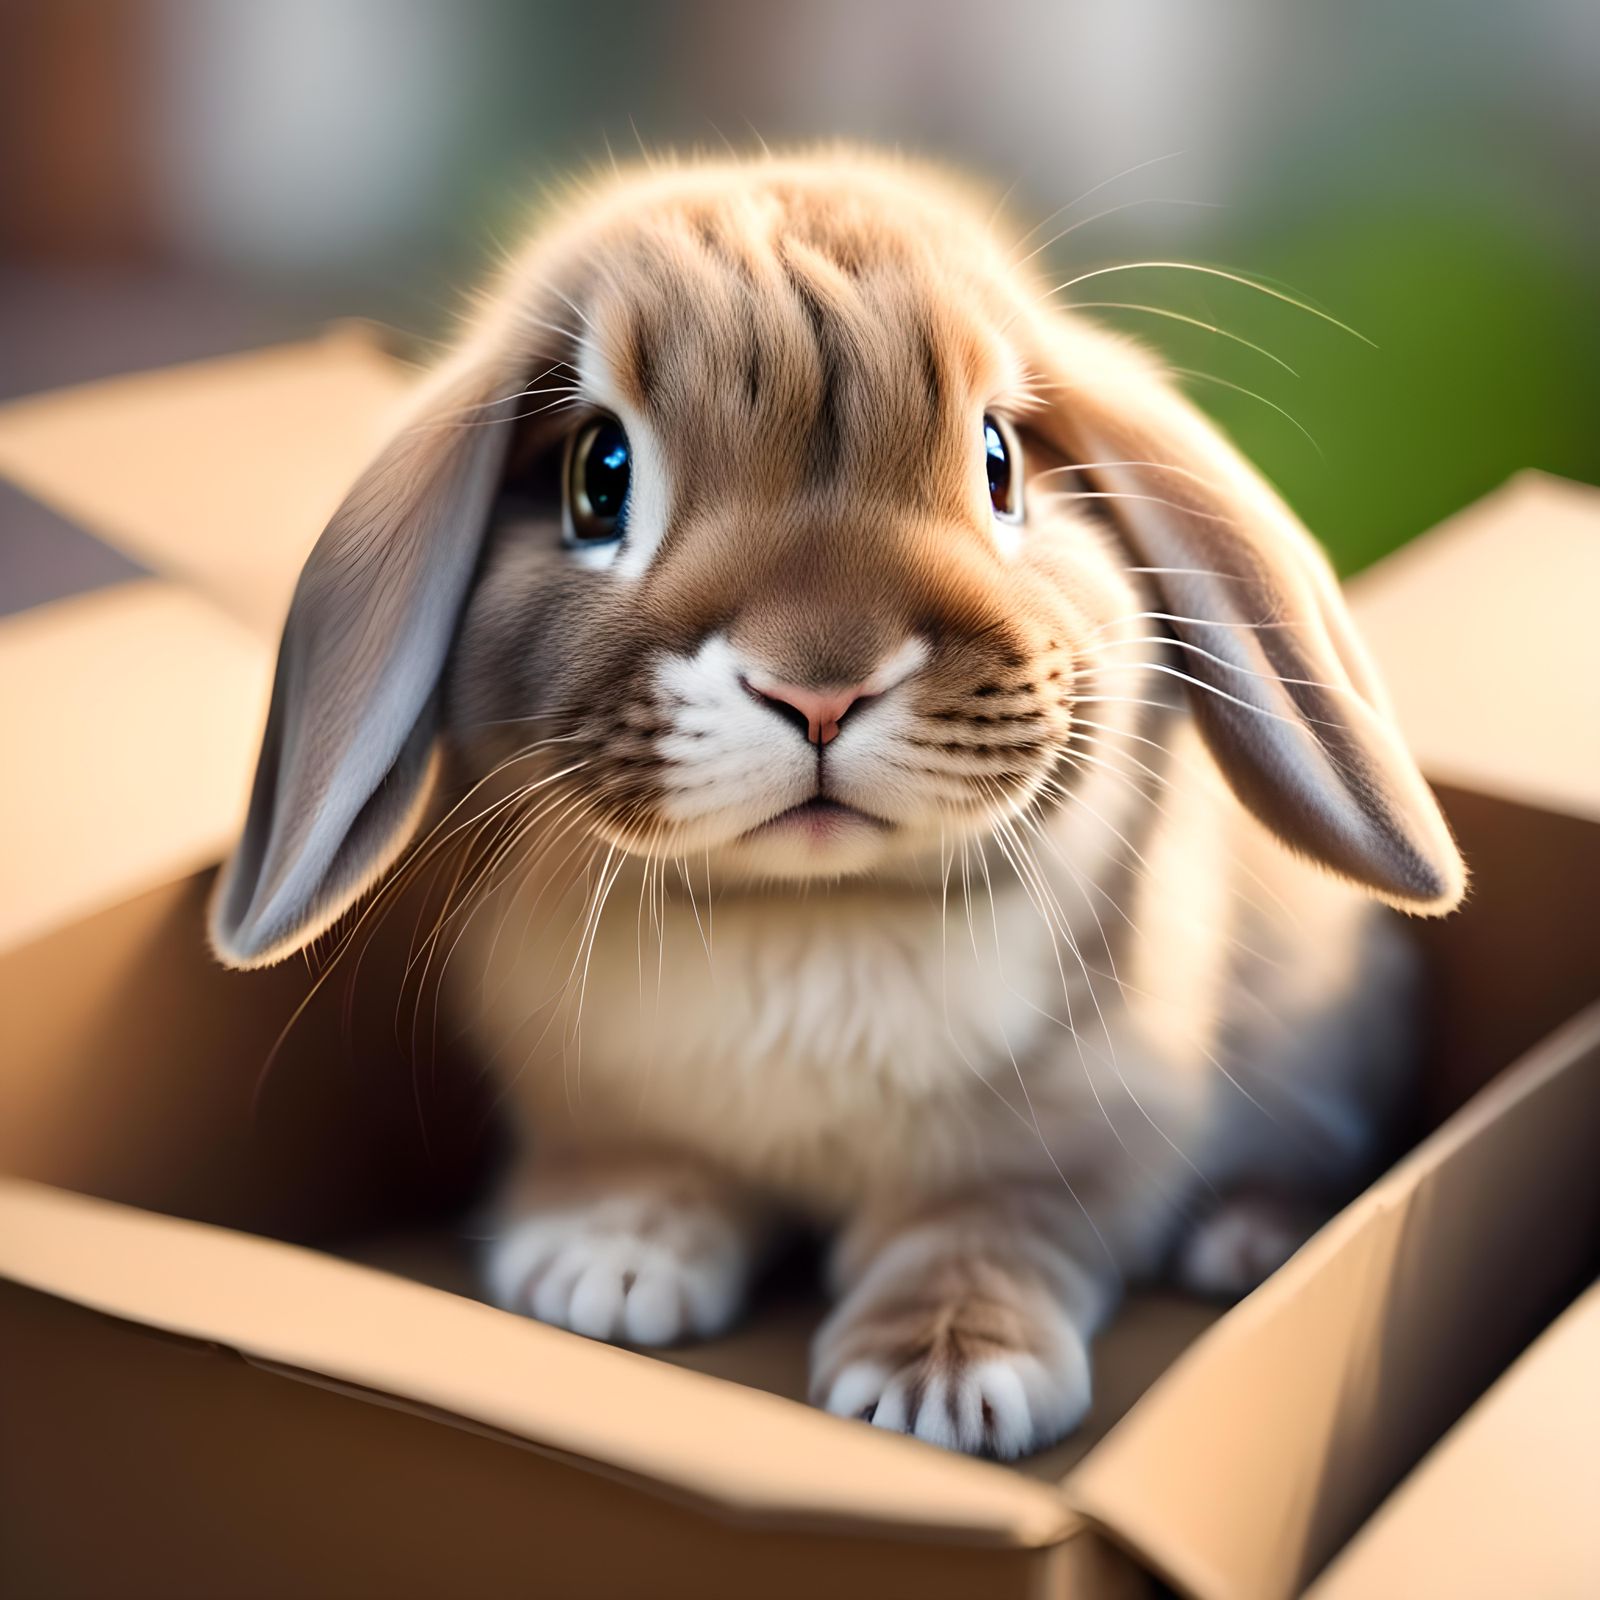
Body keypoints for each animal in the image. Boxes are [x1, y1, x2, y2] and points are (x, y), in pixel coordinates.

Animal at [210, 149, 1464, 1460]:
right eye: (598, 474)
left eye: (1000, 460)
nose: (818, 684)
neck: (813, 911)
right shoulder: (595, 1097)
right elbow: (640, 1166)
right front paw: (599, 1270)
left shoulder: (1072, 1143)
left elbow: (983, 1231)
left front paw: (945, 1383)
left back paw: (1248, 1239)